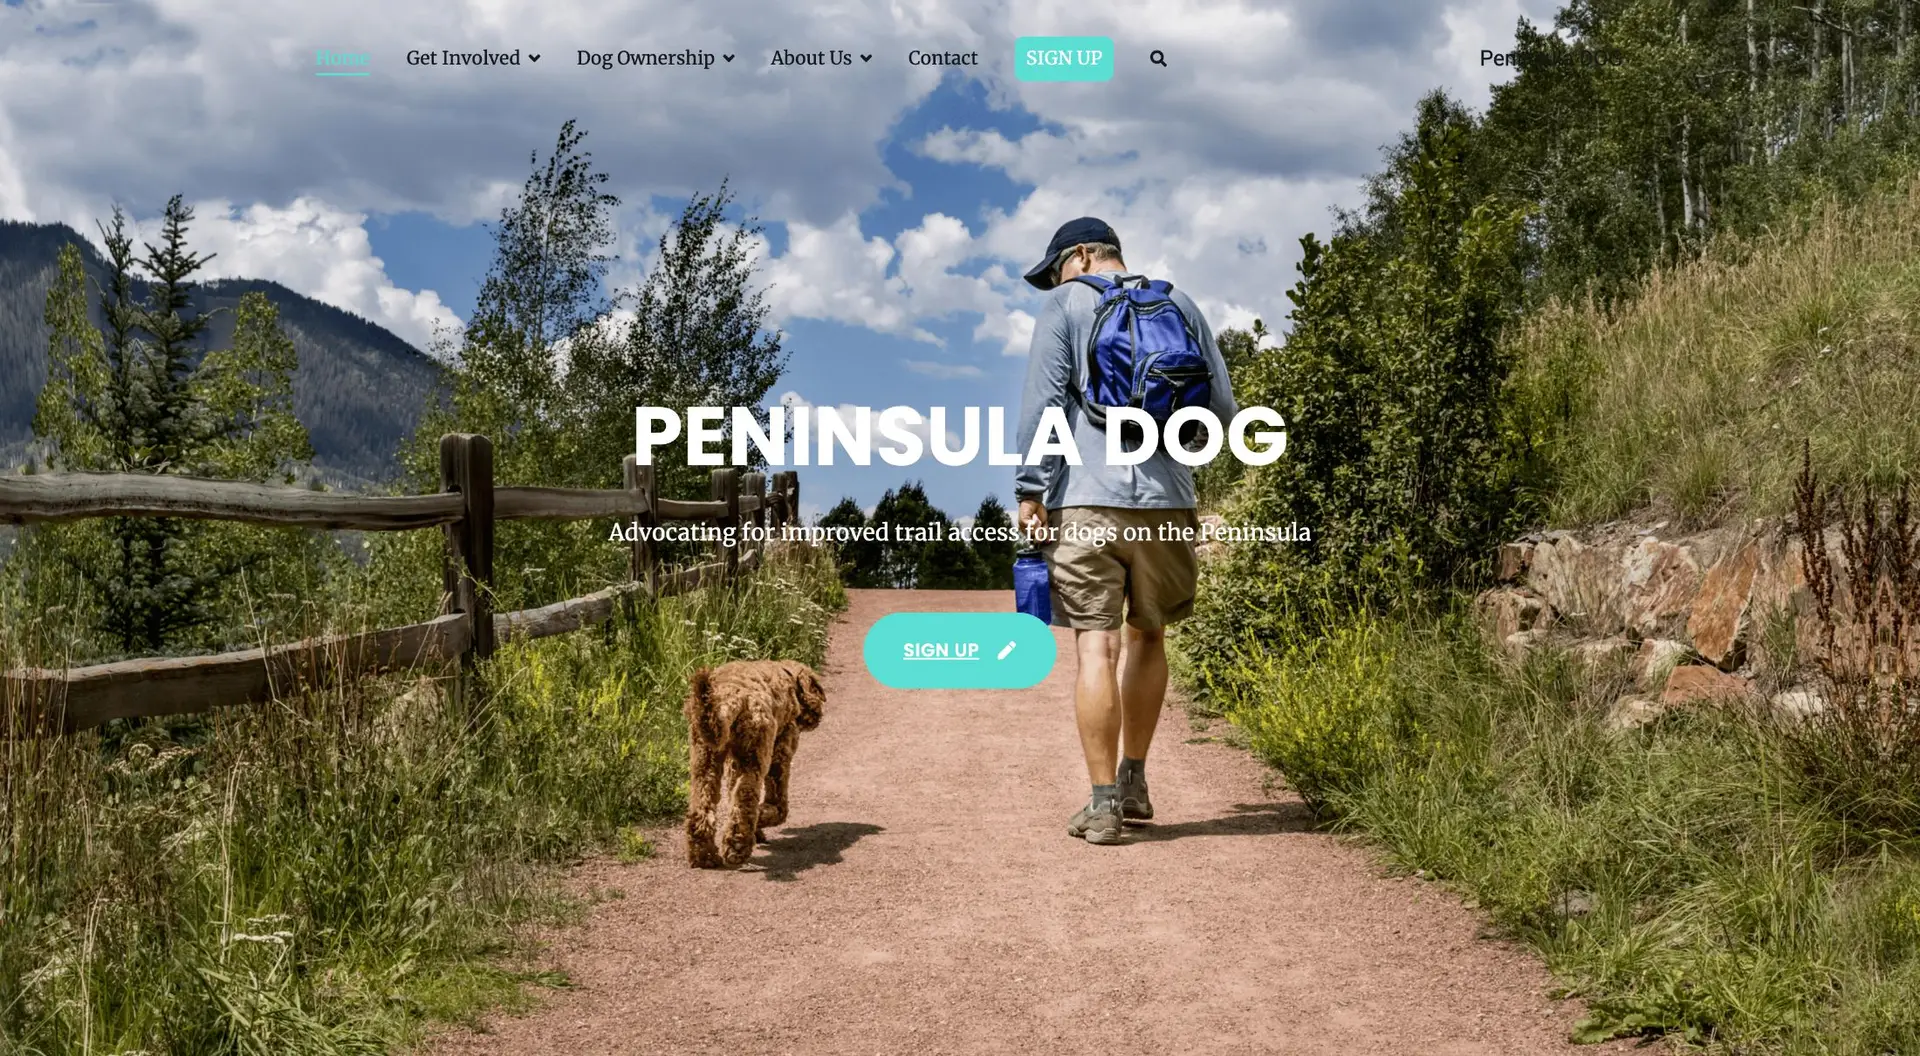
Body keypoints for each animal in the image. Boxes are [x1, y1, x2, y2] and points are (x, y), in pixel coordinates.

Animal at [687, 660, 821, 867]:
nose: (818, 716)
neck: (788, 678)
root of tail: (728, 697)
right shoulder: (781, 752)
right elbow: (778, 804)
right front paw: (764, 816)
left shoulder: (734, 763)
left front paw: (758, 828)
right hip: (754, 755)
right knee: (746, 798)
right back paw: (737, 848)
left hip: (705, 757)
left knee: (703, 807)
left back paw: (704, 856)